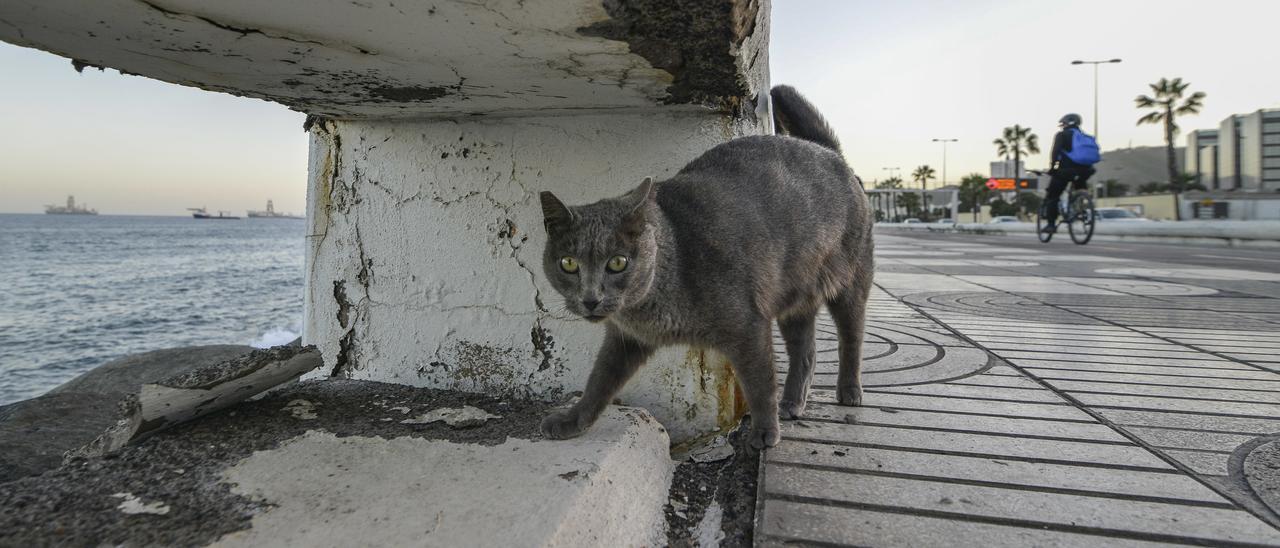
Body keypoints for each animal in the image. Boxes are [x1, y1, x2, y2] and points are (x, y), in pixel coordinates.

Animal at [535, 87, 875, 450]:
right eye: (568, 263)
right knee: (805, 351)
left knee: (852, 337)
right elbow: (599, 381)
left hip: (851, 282)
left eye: (617, 262)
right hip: (794, 297)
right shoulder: (625, 340)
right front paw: (573, 420)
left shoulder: (748, 326)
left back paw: (848, 391)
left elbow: (759, 383)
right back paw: (792, 403)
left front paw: (764, 431)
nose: (591, 298)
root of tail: (832, 155)